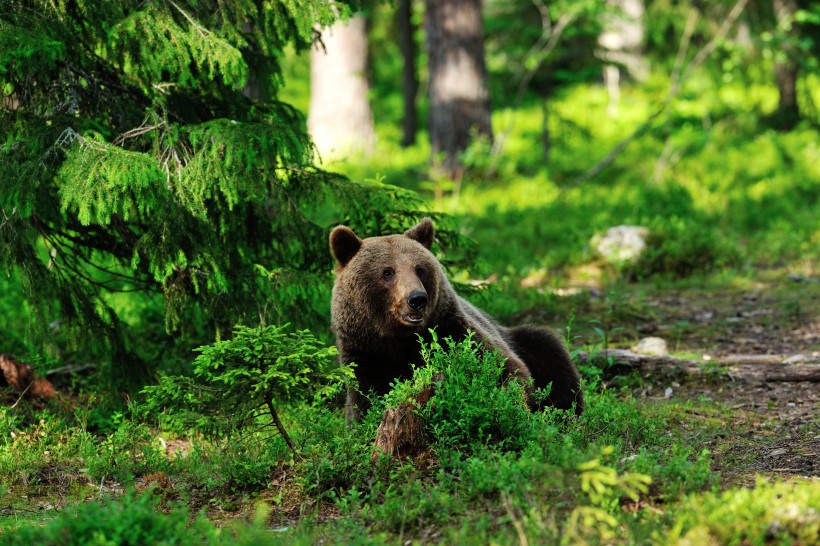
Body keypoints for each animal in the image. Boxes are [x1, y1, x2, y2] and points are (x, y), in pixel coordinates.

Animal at [328, 218, 584, 420]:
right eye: (387, 272)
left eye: (419, 269)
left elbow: (507, 368)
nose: (417, 298)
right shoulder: (365, 354)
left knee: (549, 351)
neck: (398, 339)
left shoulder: (453, 330)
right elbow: (365, 402)